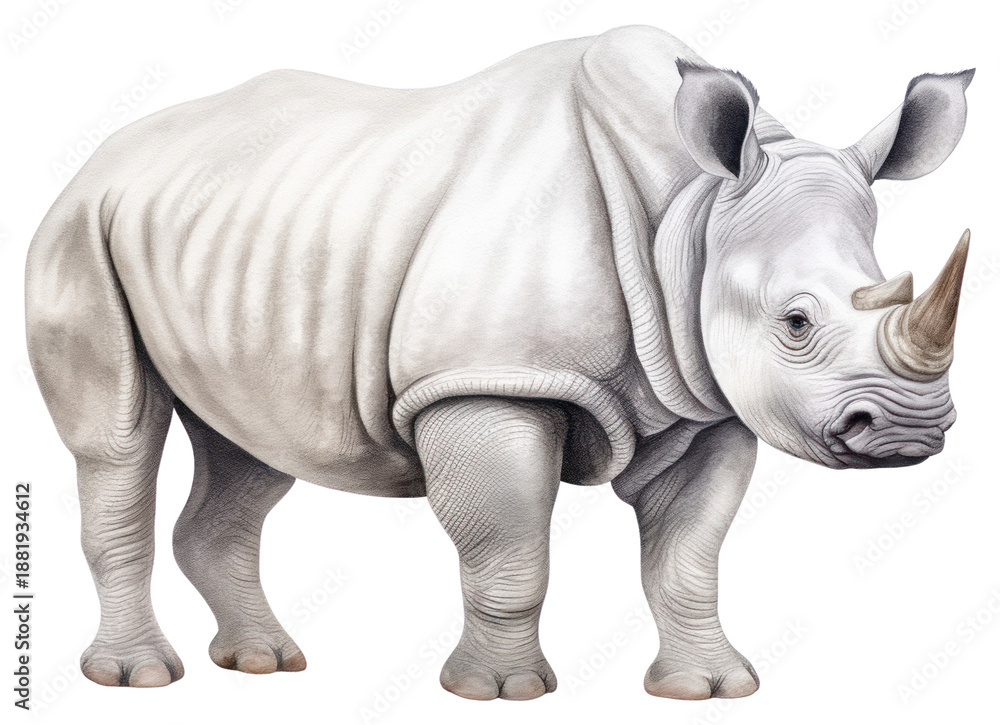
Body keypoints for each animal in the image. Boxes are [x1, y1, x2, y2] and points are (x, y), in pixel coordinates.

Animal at [25, 25, 972, 700]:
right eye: (796, 321)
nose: (910, 432)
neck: (692, 215)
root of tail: (102, 156)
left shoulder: (703, 396)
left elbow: (689, 555)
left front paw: (710, 688)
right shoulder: (482, 383)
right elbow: (511, 547)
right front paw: (500, 691)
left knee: (252, 444)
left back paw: (265, 663)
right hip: (79, 227)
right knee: (118, 439)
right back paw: (139, 677)